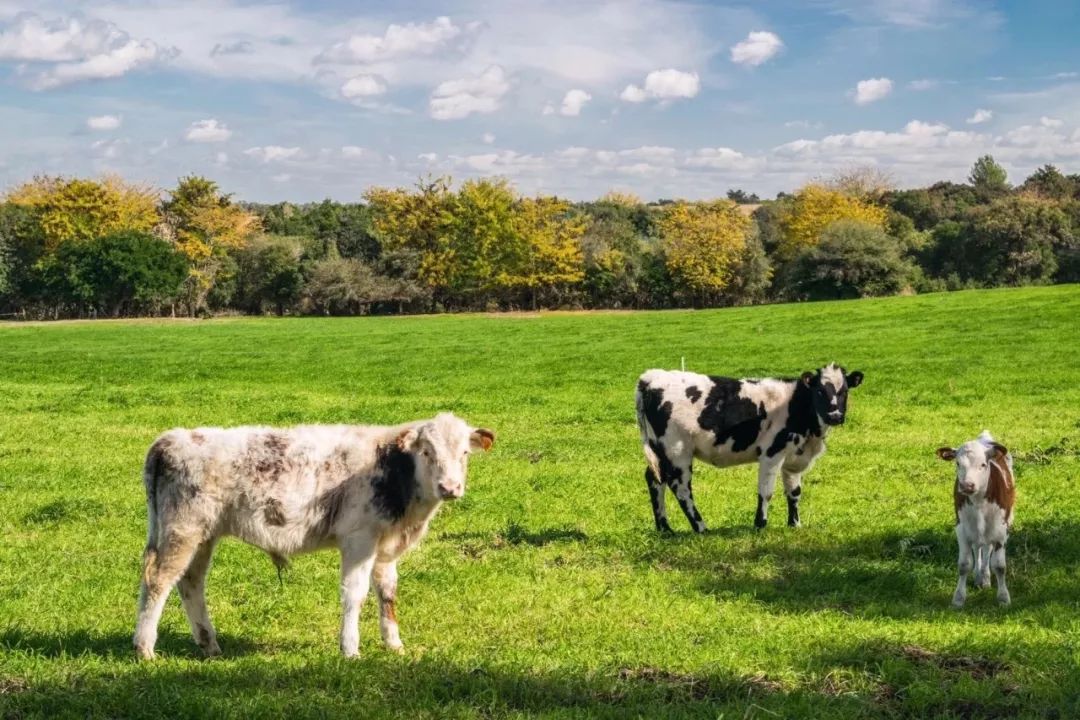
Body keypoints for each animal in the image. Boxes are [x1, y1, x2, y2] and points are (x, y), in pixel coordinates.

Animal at [131, 414, 496, 660]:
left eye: (464, 453)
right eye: (427, 452)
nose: (450, 487)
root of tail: (173, 438)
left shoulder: (385, 546)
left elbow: (388, 592)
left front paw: (394, 643)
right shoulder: (359, 539)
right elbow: (355, 593)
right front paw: (350, 648)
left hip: (203, 536)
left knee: (190, 583)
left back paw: (209, 644)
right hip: (183, 530)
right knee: (158, 580)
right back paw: (145, 648)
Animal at [635, 362, 864, 533]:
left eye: (844, 391)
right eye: (820, 391)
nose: (835, 416)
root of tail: (653, 376)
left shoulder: (793, 457)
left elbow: (794, 492)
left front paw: (794, 524)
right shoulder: (771, 454)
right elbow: (766, 492)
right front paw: (760, 524)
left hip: (659, 450)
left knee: (655, 479)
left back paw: (665, 529)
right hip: (677, 451)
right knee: (680, 488)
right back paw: (701, 527)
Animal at [933, 433, 1015, 608]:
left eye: (983, 464)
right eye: (958, 463)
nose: (967, 485)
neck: (978, 502)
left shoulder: (1001, 531)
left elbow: (999, 566)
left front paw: (1003, 597)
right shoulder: (962, 530)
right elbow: (964, 565)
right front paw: (958, 598)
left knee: (987, 549)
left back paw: (985, 577)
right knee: (978, 548)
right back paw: (979, 577)